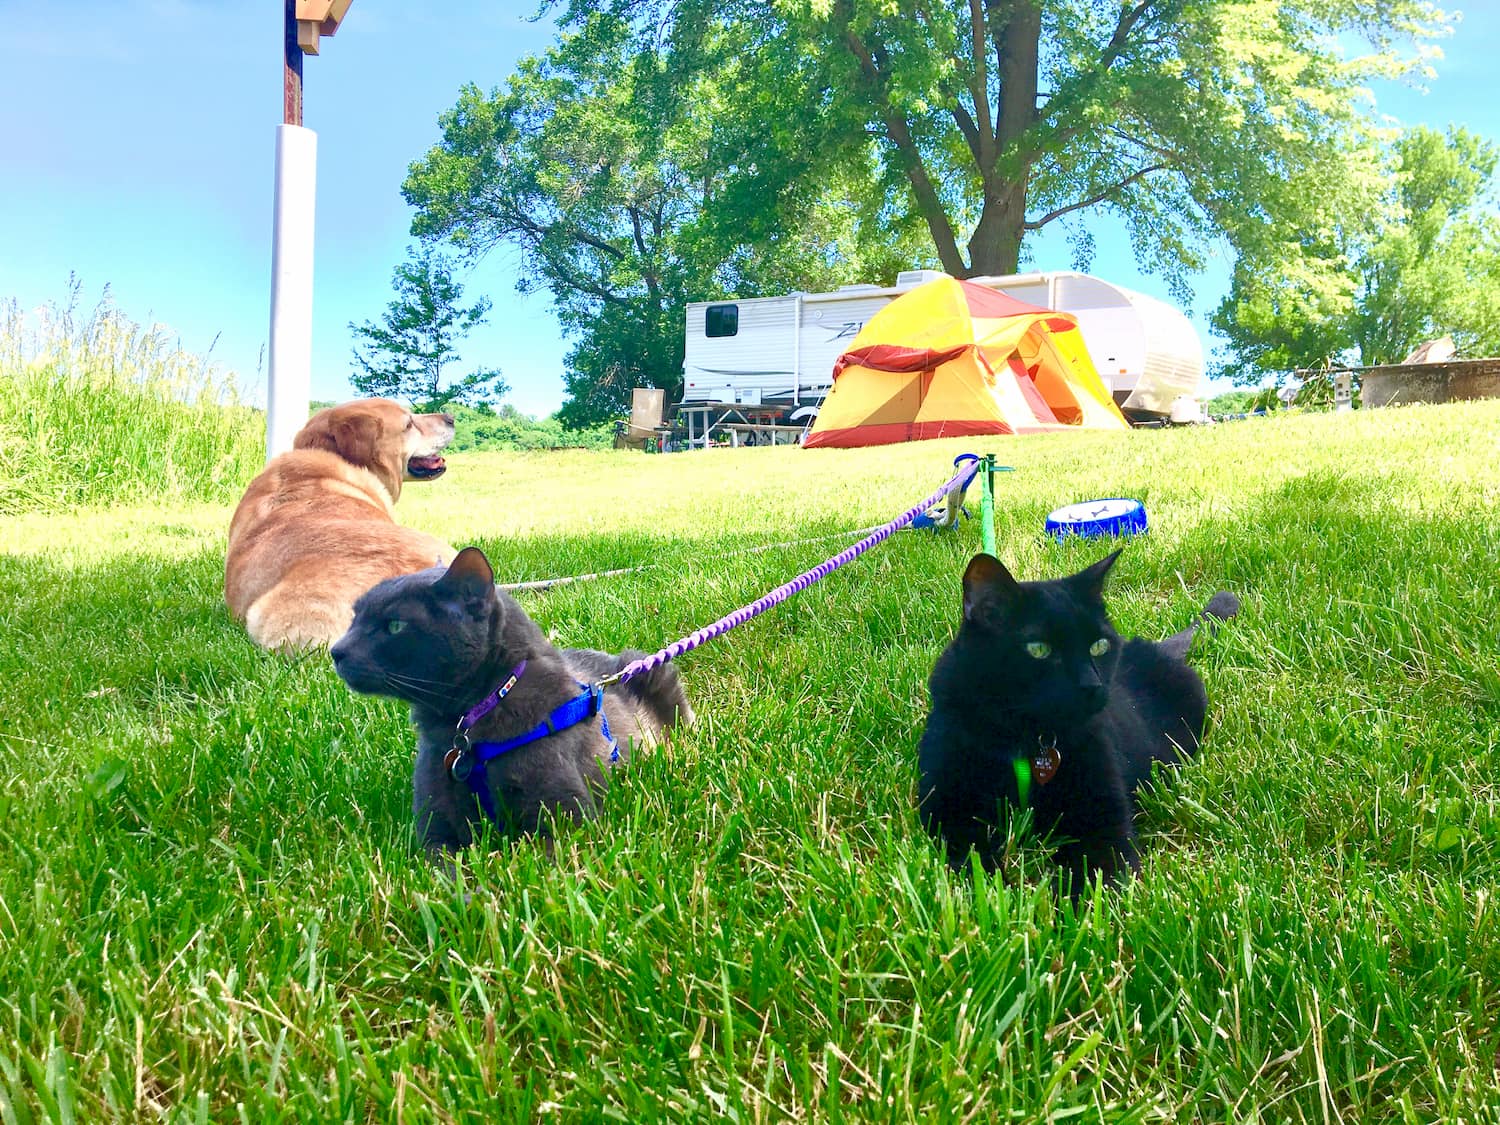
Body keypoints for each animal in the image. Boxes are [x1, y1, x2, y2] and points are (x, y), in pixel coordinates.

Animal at [328, 552, 690, 858]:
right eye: (354, 617)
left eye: (395, 625)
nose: (336, 651)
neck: (468, 723)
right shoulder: (434, 830)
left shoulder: (567, 821)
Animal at [918, 552, 1236, 894]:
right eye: (1039, 649)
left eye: (1099, 645)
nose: (1092, 685)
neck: (1026, 738)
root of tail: (1157, 647)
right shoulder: (947, 807)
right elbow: (972, 865)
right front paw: (999, 892)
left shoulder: (1103, 815)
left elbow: (1101, 874)